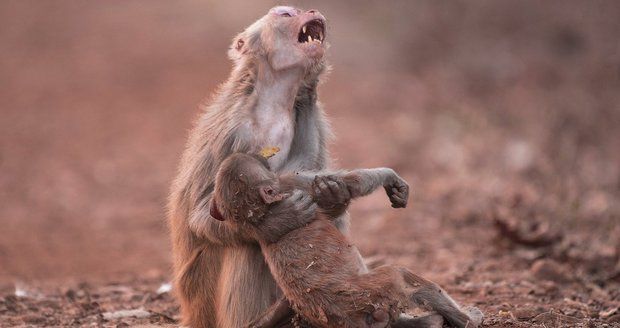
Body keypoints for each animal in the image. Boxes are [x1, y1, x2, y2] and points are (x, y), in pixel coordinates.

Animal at [168, 5, 354, 328]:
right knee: (246, 245)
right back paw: (264, 318)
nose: (311, 10)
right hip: (204, 298)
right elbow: (202, 215)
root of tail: (191, 314)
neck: (273, 101)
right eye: (286, 14)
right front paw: (278, 222)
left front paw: (333, 194)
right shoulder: (233, 133)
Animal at [211, 154, 482, 328]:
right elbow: (353, 183)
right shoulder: (290, 182)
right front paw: (390, 177)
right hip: (371, 291)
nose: (262, 155)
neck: (260, 213)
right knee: (403, 277)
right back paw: (467, 320)